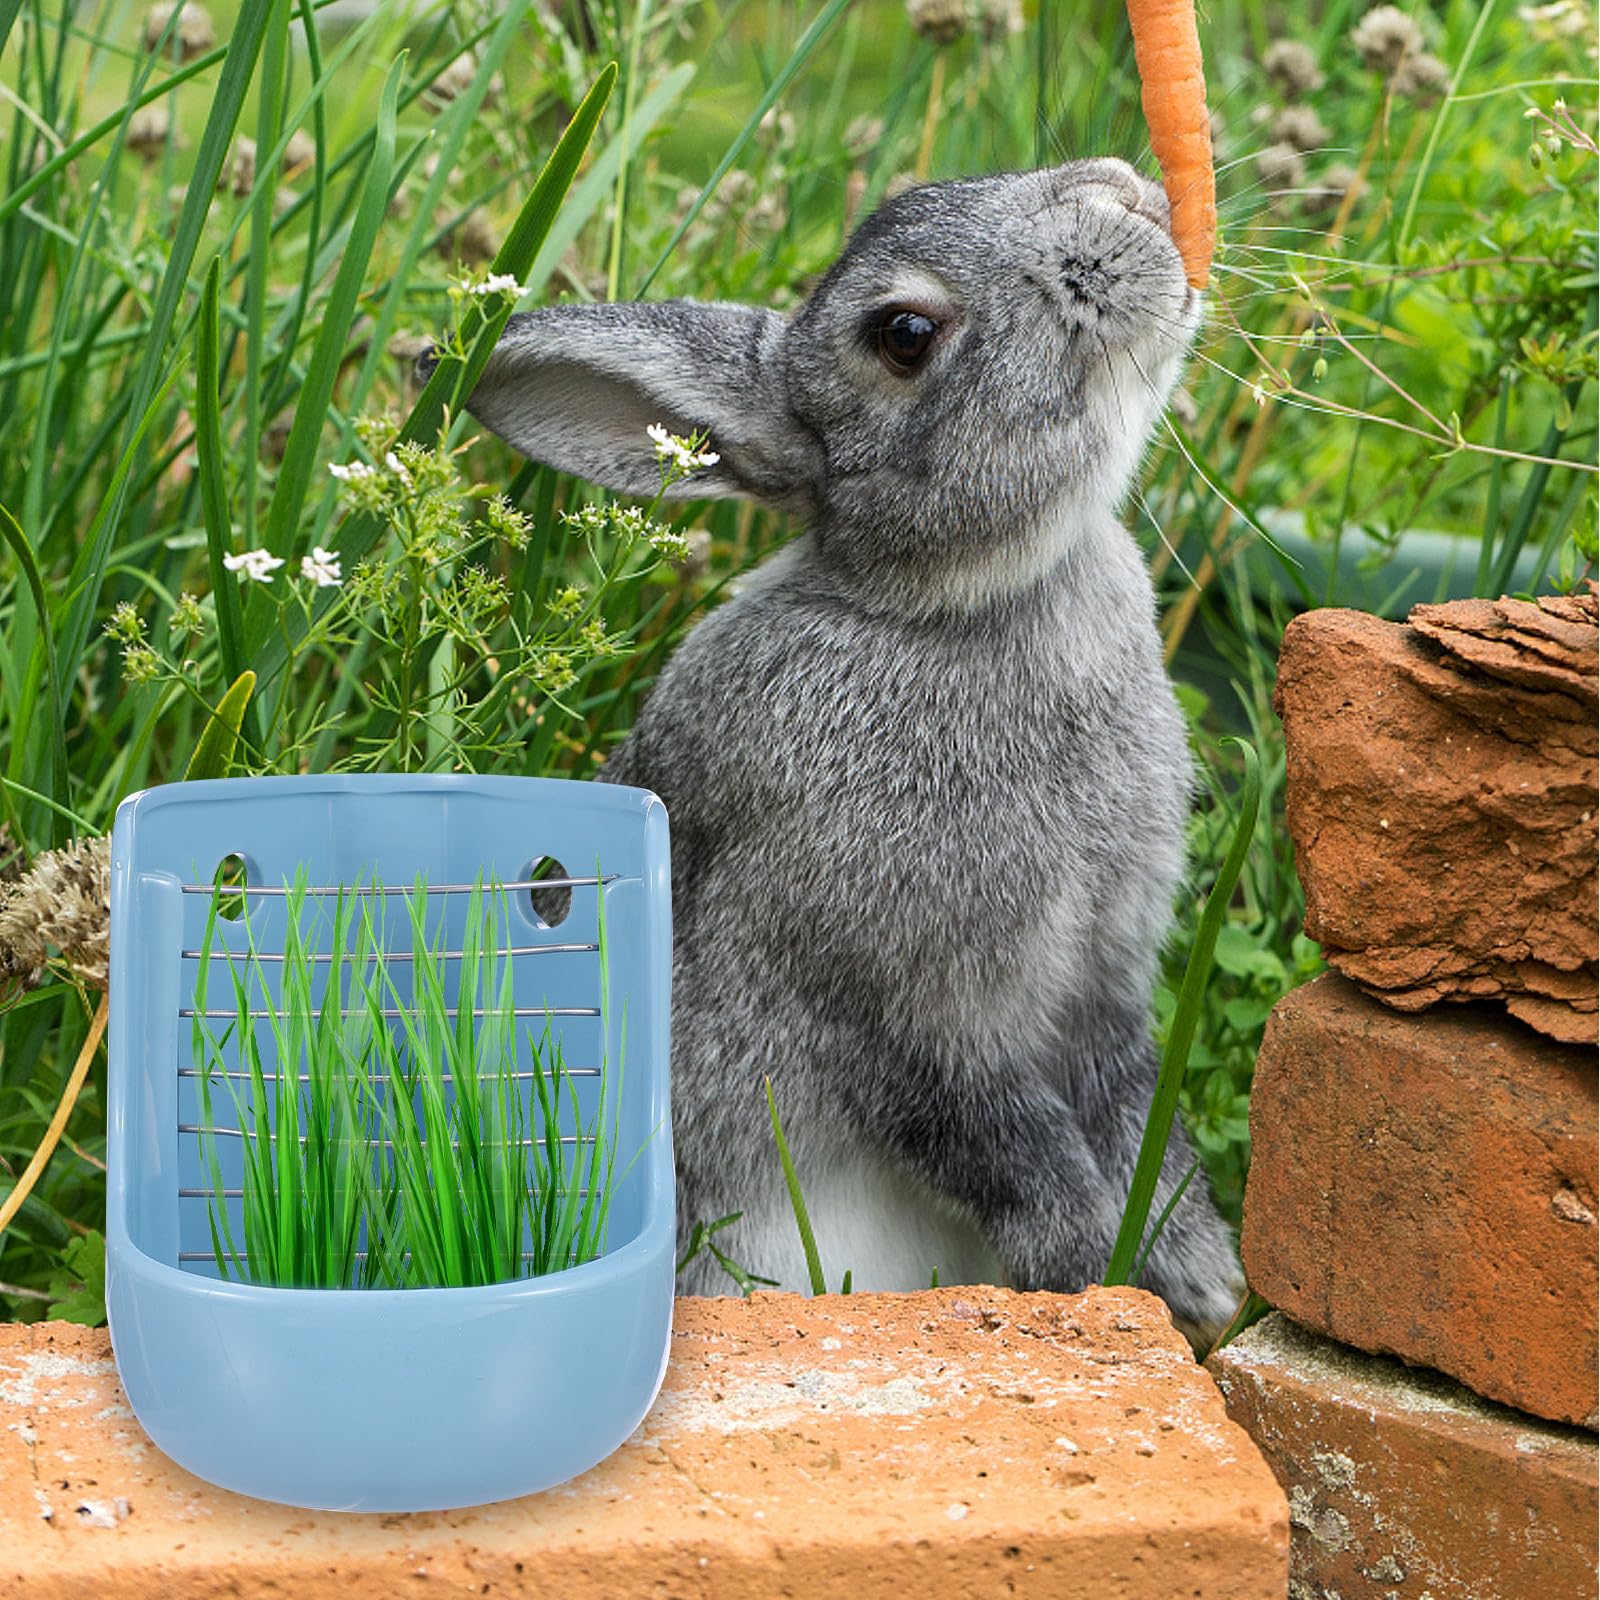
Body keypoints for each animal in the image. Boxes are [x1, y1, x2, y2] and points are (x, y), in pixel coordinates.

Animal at [449, 155, 1242, 1343]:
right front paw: (1093, 1276)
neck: (951, 603)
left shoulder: (1103, 985)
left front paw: (1201, 1284)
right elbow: (1006, 1149)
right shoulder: (898, 1009)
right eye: (904, 333)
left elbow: (1138, 1113)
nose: (1123, 194)